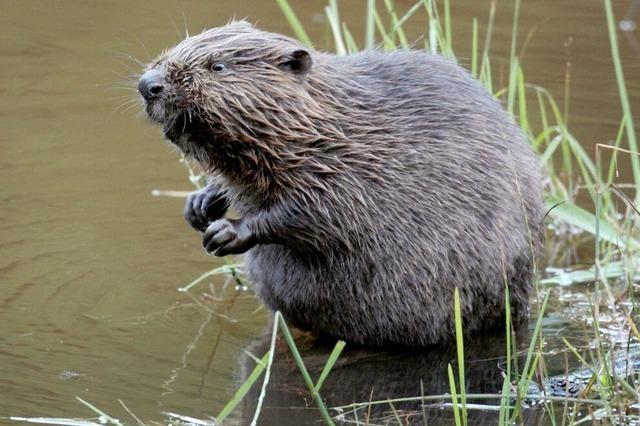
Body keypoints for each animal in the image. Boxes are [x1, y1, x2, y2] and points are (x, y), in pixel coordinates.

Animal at [138, 21, 544, 346]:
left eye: (218, 66)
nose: (148, 85)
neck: (325, 123)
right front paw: (199, 205)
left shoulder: (350, 169)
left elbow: (320, 213)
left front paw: (225, 233)